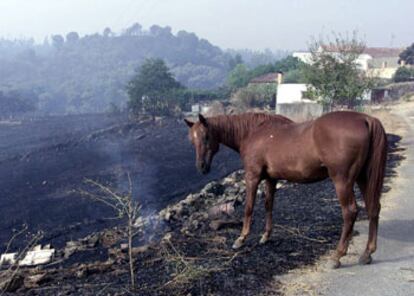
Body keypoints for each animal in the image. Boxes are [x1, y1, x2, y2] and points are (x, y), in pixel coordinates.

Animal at [185, 111, 388, 268]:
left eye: (206, 137)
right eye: (191, 141)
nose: (201, 167)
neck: (253, 132)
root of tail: (365, 118)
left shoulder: (252, 177)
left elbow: (249, 208)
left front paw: (241, 239)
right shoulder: (271, 179)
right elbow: (268, 205)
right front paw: (265, 236)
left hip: (342, 181)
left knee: (350, 212)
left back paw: (337, 256)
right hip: (363, 177)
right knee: (373, 208)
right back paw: (367, 254)